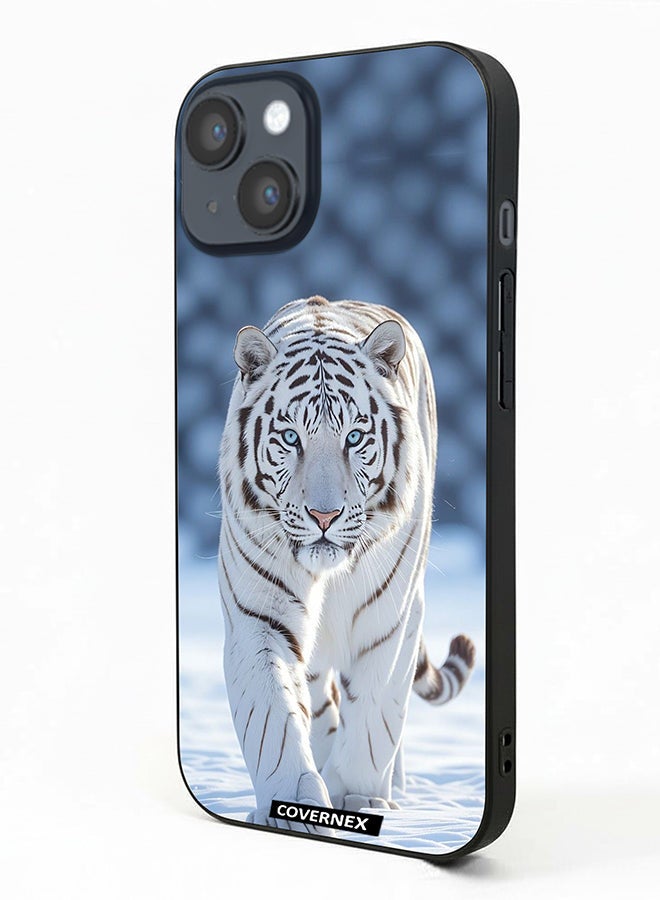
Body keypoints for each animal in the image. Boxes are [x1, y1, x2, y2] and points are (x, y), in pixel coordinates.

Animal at [218, 296, 475, 833]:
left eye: (355, 437)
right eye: (290, 437)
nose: (324, 515)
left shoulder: (389, 620)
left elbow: (375, 715)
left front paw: (359, 798)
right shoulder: (259, 618)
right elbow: (274, 719)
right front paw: (292, 805)